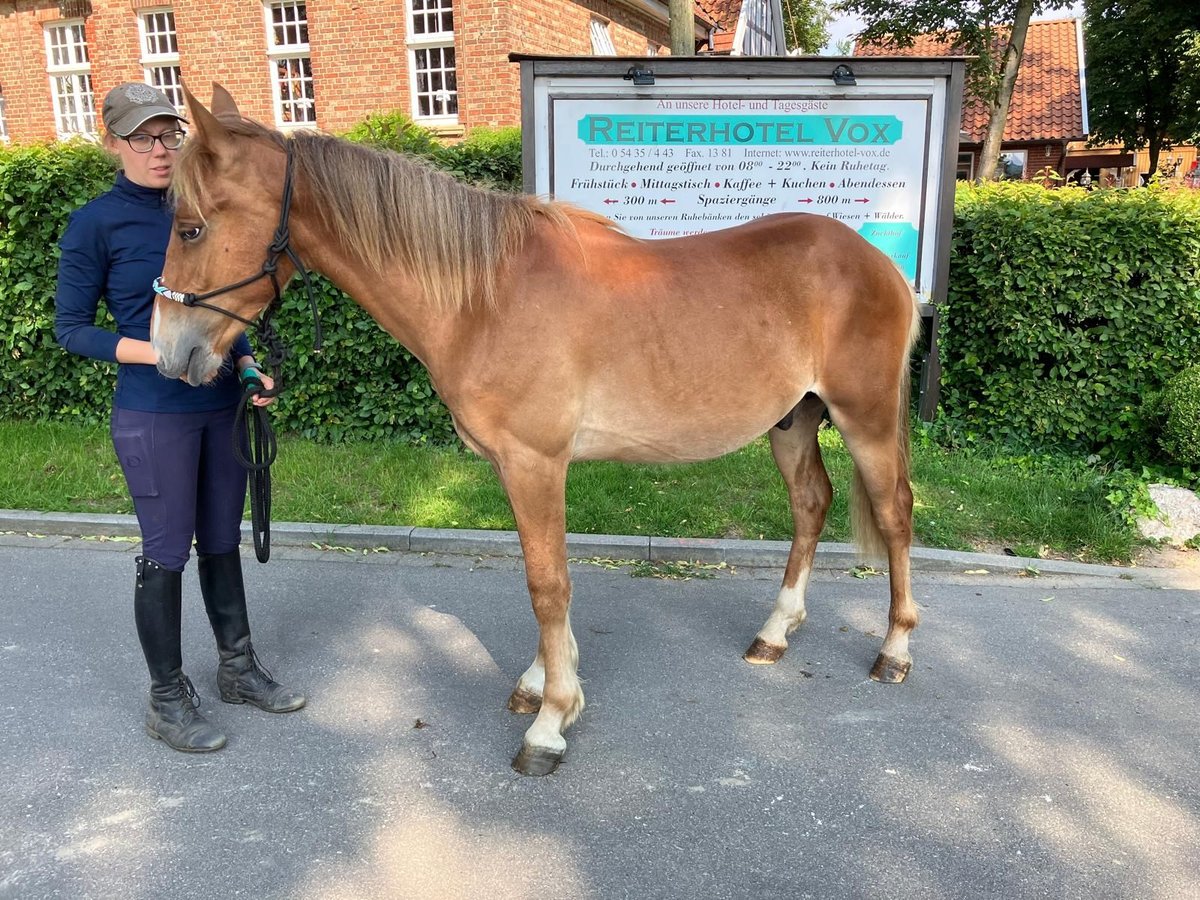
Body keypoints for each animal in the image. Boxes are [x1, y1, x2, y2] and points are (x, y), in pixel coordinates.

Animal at [150, 84, 916, 777]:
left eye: (191, 227)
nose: (168, 352)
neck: (483, 296)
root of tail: (876, 259)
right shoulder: (515, 466)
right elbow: (544, 573)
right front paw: (545, 681)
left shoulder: (536, 461)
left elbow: (547, 583)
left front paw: (551, 723)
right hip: (793, 421)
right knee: (811, 505)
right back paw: (775, 634)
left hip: (867, 419)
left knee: (895, 514)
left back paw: (894, 651)